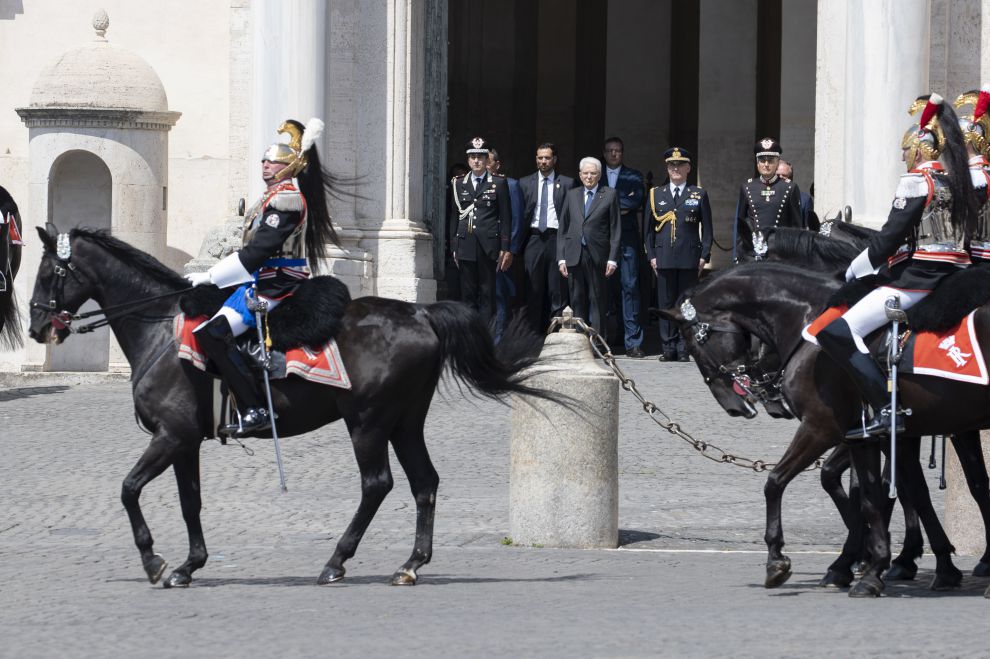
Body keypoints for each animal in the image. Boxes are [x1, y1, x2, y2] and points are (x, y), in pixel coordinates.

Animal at [29, 229, 560, 592]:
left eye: (47, 273)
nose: (37, 326)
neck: (160, 330)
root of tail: (420, 311)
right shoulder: (184, 441)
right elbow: (189, 502)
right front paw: (188, 564)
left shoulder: (170, 435)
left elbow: (128, 490)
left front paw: (154, 562)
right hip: (405, 423)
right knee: (424, 483)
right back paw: (410, 564)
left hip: (368, 422)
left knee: (377, 484)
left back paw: (336, 561)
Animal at [664, 262, 990, 600]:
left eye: (694, 343)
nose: (735, 406)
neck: (807, 323)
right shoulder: (872, 436)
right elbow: (885, 493)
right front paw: (880, 561)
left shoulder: (821, 427)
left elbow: (777, 481)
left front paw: (781, 561)